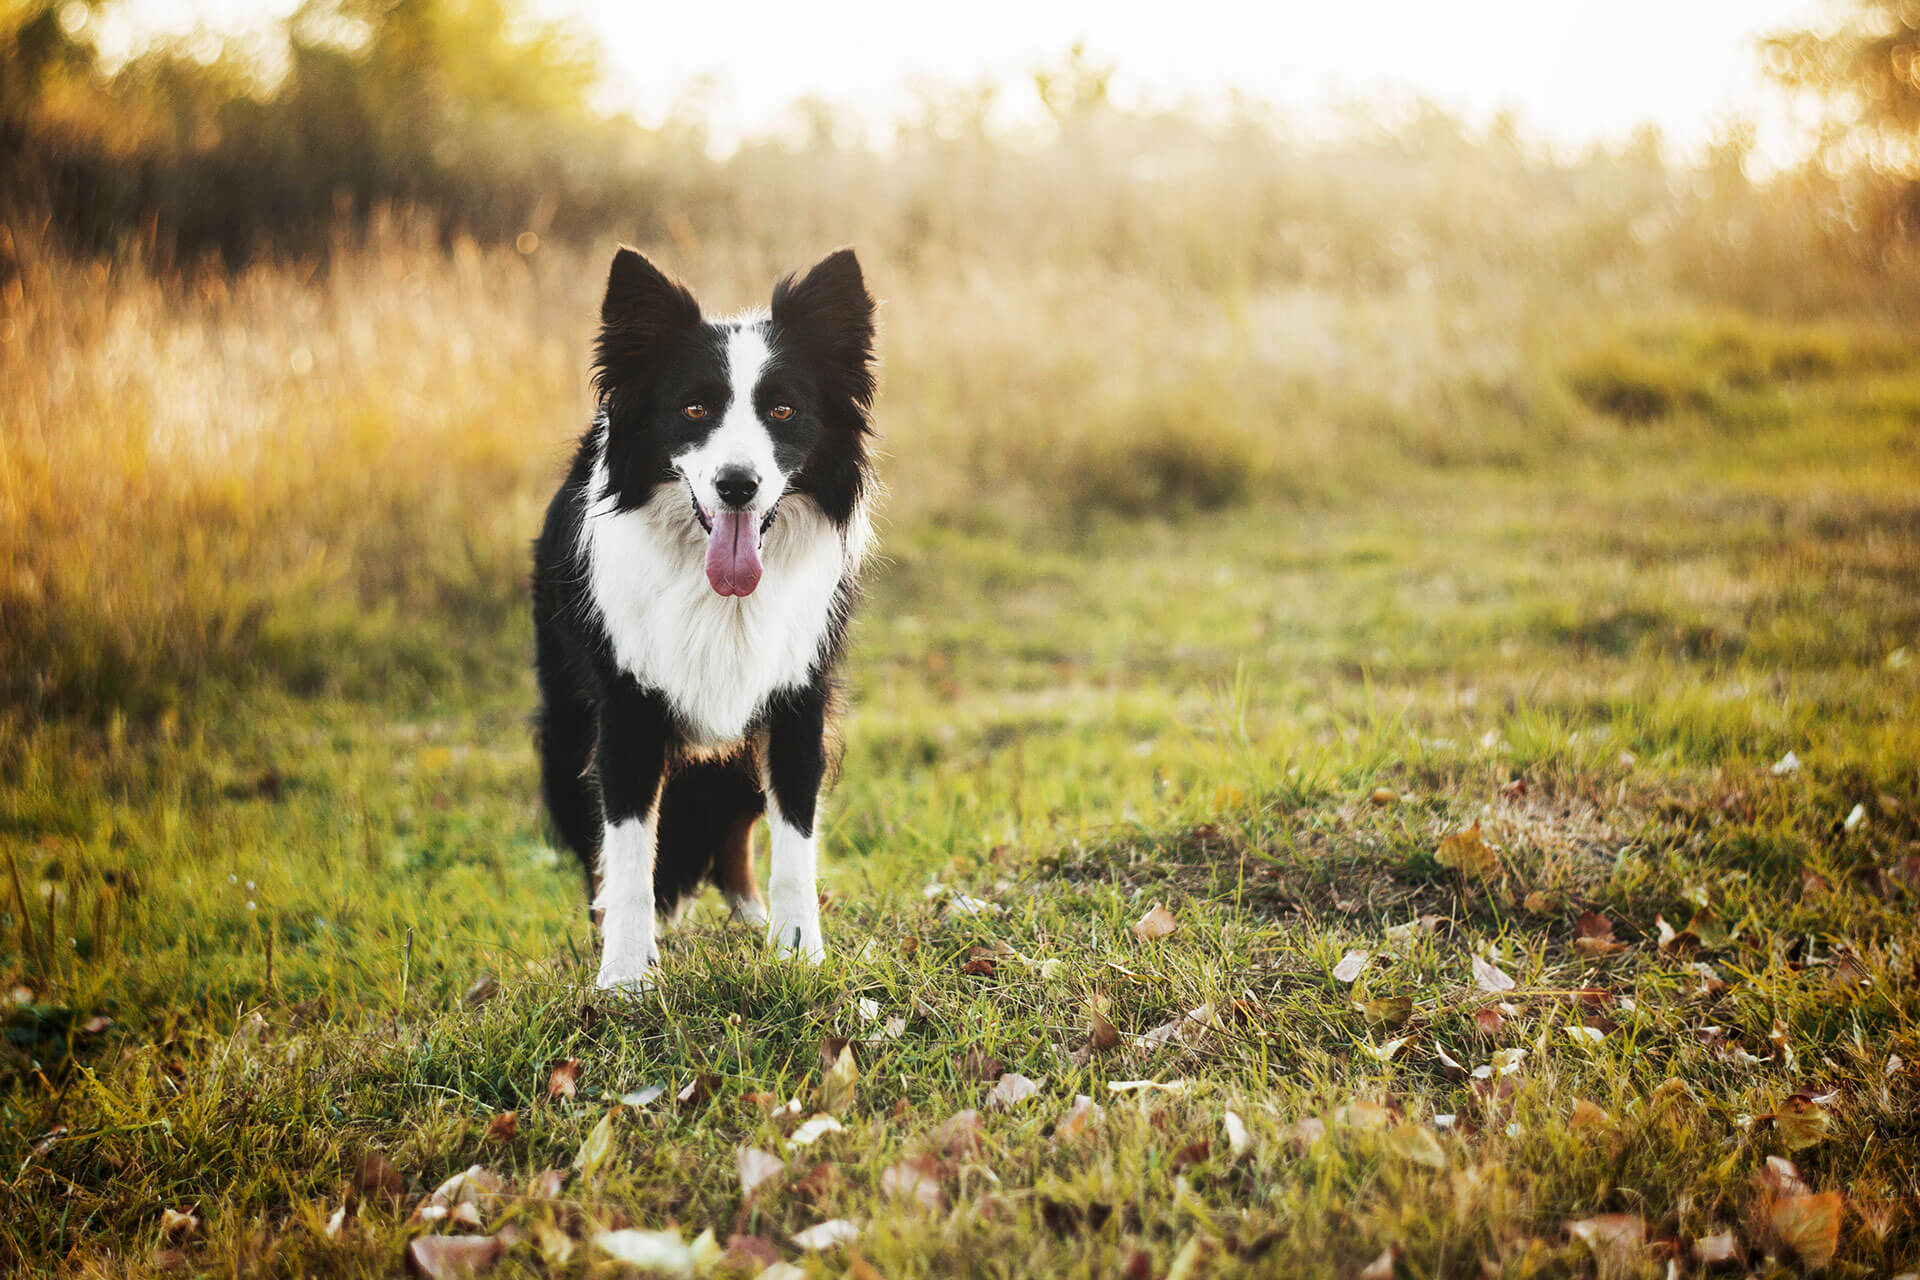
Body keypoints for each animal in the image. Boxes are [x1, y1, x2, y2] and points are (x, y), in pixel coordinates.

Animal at [533, 247, 879, 990]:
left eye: (783, 409)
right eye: (693, 408)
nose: (737, 485)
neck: (722, 594)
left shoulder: (798, 702)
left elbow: (794, 842)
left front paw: (798, 953)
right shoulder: (625, 710)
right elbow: (629, 853)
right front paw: (625, 978)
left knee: (737, 836)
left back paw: (749, 919)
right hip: (563, 737)